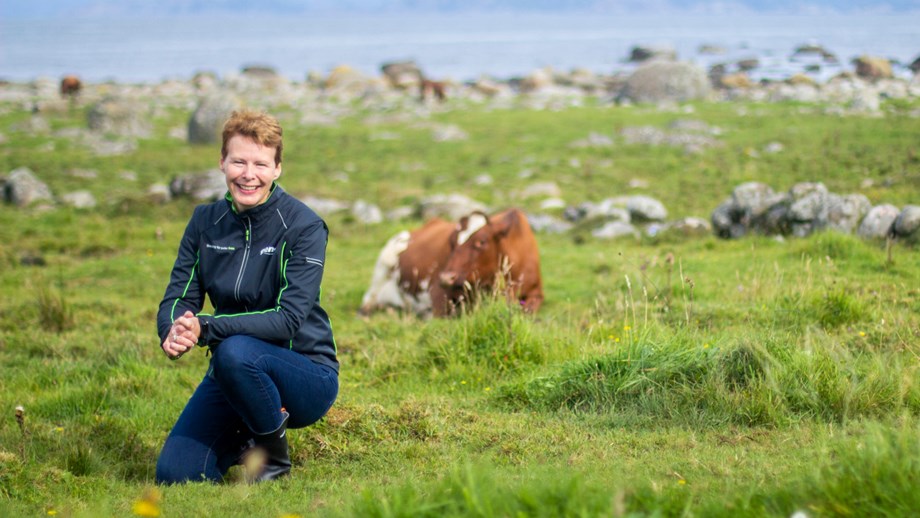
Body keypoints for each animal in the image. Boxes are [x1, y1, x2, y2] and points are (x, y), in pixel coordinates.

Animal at [360, 208, 544, 316]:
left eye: (481, 242)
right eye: (452, 242)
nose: (446, 278)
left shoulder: (536, 293)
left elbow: (527, 309)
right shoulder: (437, 293)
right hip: (382, 267)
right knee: (369, 299)